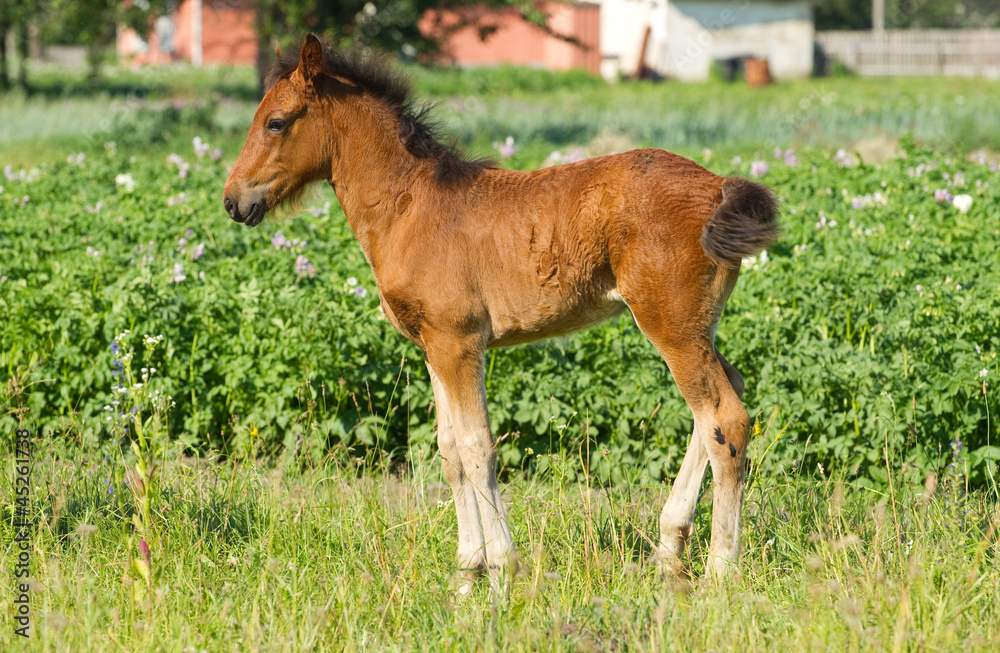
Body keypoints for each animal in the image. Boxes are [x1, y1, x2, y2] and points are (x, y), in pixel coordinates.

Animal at [224, 34, 779, 592]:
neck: (409, 207)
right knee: (720, 401)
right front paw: (466, 571)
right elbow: (449, 450)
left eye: (276, 122)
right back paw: (669, 549)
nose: (232, 201)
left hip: (670, 324)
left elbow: (477, 448)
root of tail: (717, 186)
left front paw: (502, 569)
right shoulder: (433, 347)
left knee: (725, 419)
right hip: (695, 325)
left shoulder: (459, 343)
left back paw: (719, 570)